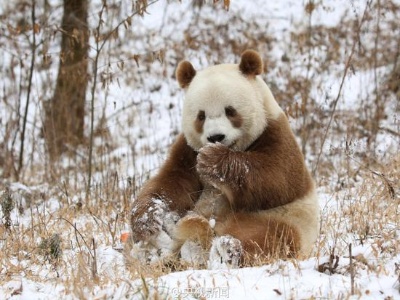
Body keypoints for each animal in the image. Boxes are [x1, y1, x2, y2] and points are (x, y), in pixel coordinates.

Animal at [126, 49, 320, 268]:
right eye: (201, 116)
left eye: (230, 111)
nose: (215, 137)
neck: (236, 148)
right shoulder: (187, 150)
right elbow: (171, 183)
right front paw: (148, 220)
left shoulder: (275, 132)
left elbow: (278, 178)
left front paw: (213, 160)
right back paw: (157, 252)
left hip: (283, 218)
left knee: (269, 237)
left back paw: (226, 250)